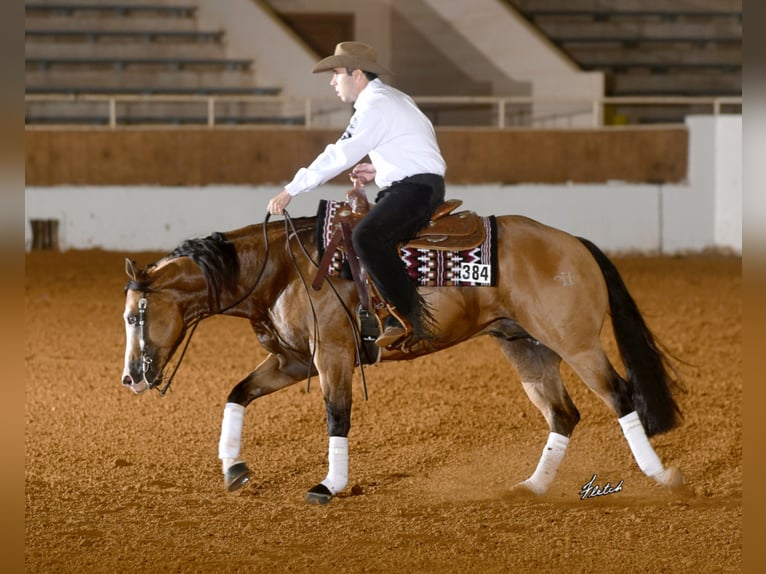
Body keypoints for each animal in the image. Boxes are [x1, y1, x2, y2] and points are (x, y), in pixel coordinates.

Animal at [121, 209, 685, 505]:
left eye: (134, 317)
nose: (131, 378)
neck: (283, 269)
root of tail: (574, 244)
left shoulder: (332, 357)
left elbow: (337, 417)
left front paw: (330, 485)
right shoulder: (294, 362)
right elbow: (237, 394)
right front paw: (234, 469)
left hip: (576, 343)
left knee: (620, 396)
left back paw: (660, 477)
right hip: (527, 346)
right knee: (564, 414)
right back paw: (533, 486)